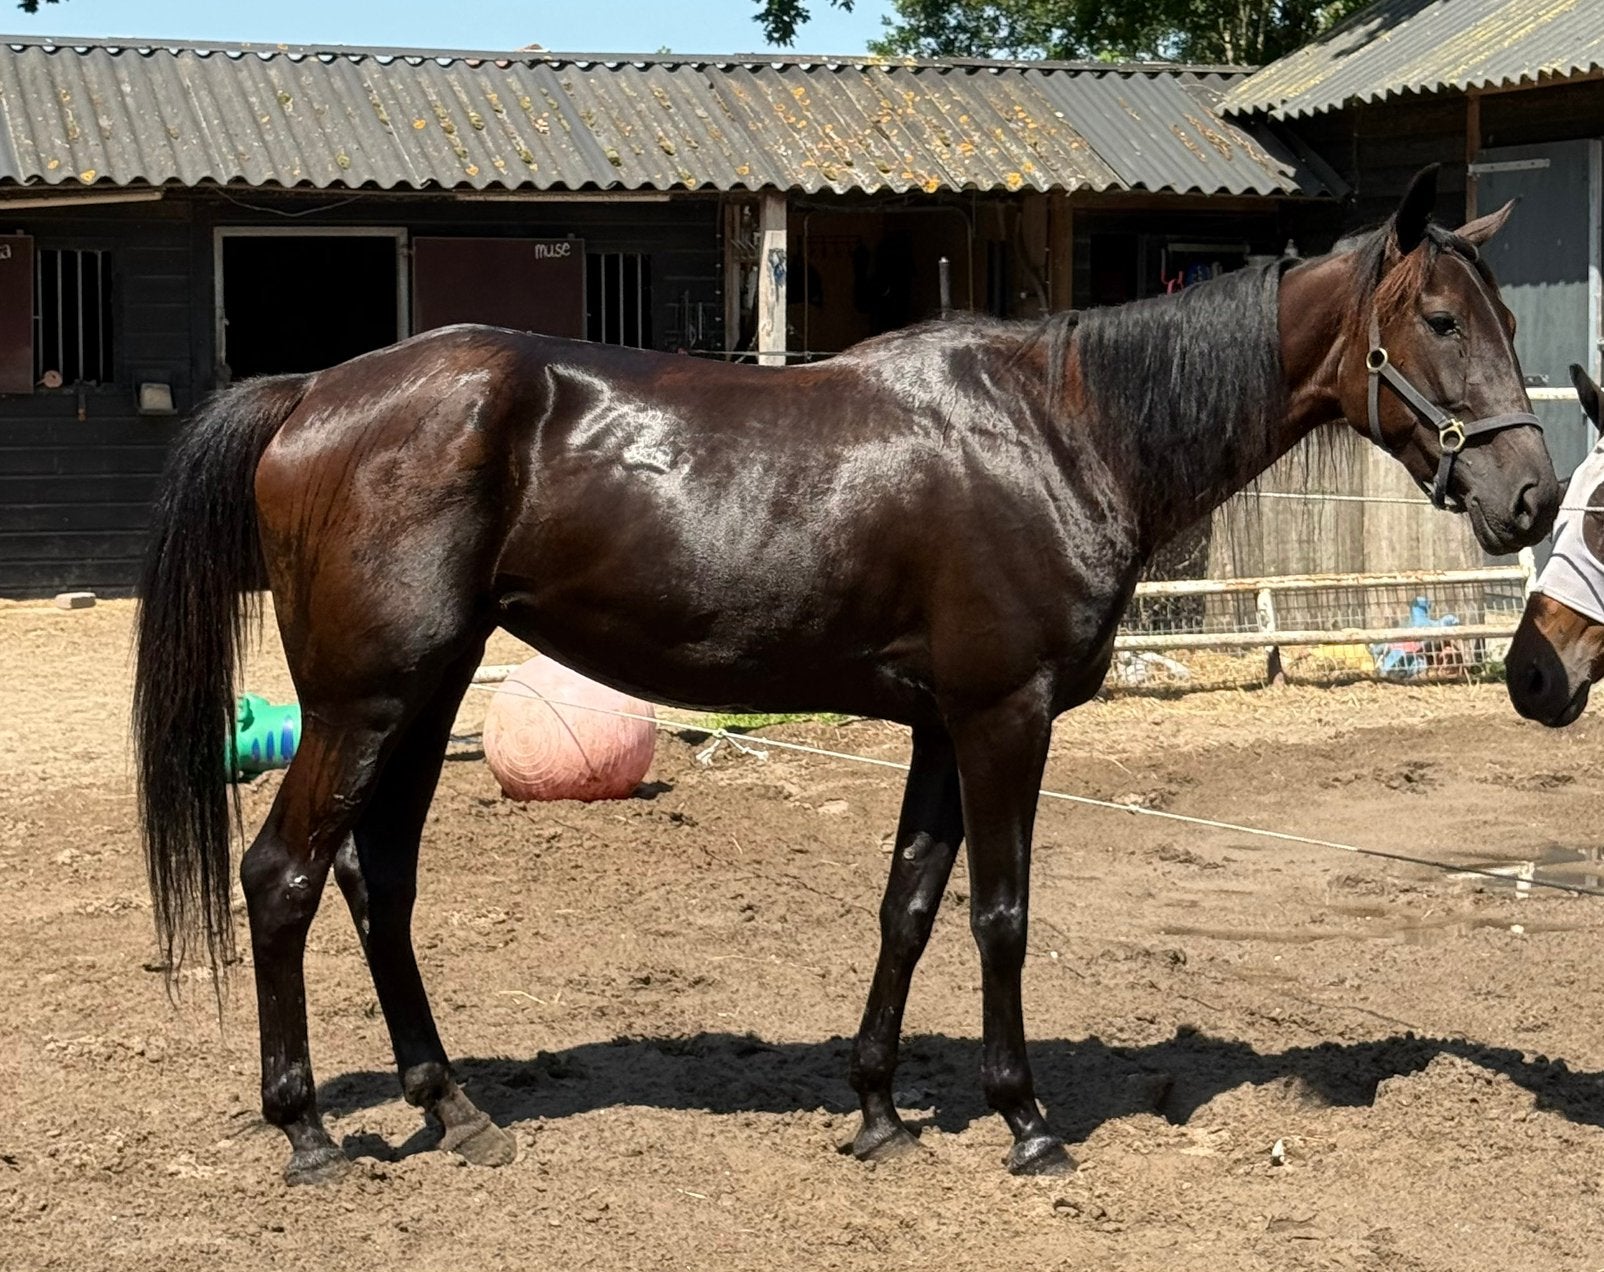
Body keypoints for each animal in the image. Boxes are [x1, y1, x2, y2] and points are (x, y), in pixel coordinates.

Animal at [133, 164, 1557, 1185]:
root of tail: (312, 392)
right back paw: (310, 1134)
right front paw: (1024, 1121)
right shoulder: (1003, 719)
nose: (1530, 497)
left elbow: (907, 908)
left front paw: (877, 1111)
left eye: (1503, 318)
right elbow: (999, 916)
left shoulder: (940, 726)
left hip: (422, 701)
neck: (1059, 430)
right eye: (1438, 319)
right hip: (365, 704)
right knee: (284, 876)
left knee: (378, 881)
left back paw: (455, 1110)